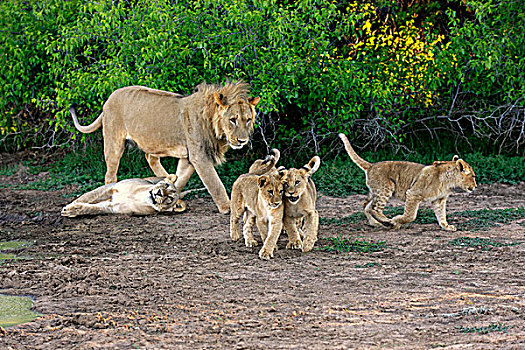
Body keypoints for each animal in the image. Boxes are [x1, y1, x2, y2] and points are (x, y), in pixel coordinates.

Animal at [70, 81, 260, 213]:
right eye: (233, 120)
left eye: (248, 119)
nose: (242, 140)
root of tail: (109, 99)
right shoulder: (199, 156)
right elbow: (215, 184)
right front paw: (228, 208)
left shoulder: (188, 158)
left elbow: (181, 178)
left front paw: (172, 189)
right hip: (114, 141)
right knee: (110, 174)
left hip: (154, 141)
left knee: (150, 157)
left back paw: (165, 176)